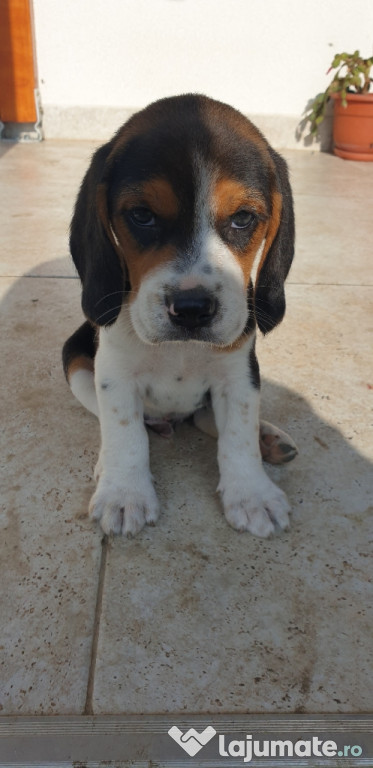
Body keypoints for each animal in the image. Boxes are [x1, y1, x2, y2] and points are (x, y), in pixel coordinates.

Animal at [63, 94, 294, 540]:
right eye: (141, 215)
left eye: (243, 218)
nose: (191, 310)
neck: (182, 350)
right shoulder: (114, 372)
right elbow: (125, 431)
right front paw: (124, 493)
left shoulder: (239, 374)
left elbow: (237, 434)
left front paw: (251, 492)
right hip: (75, 359)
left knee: (208, 419)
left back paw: (268, 438)